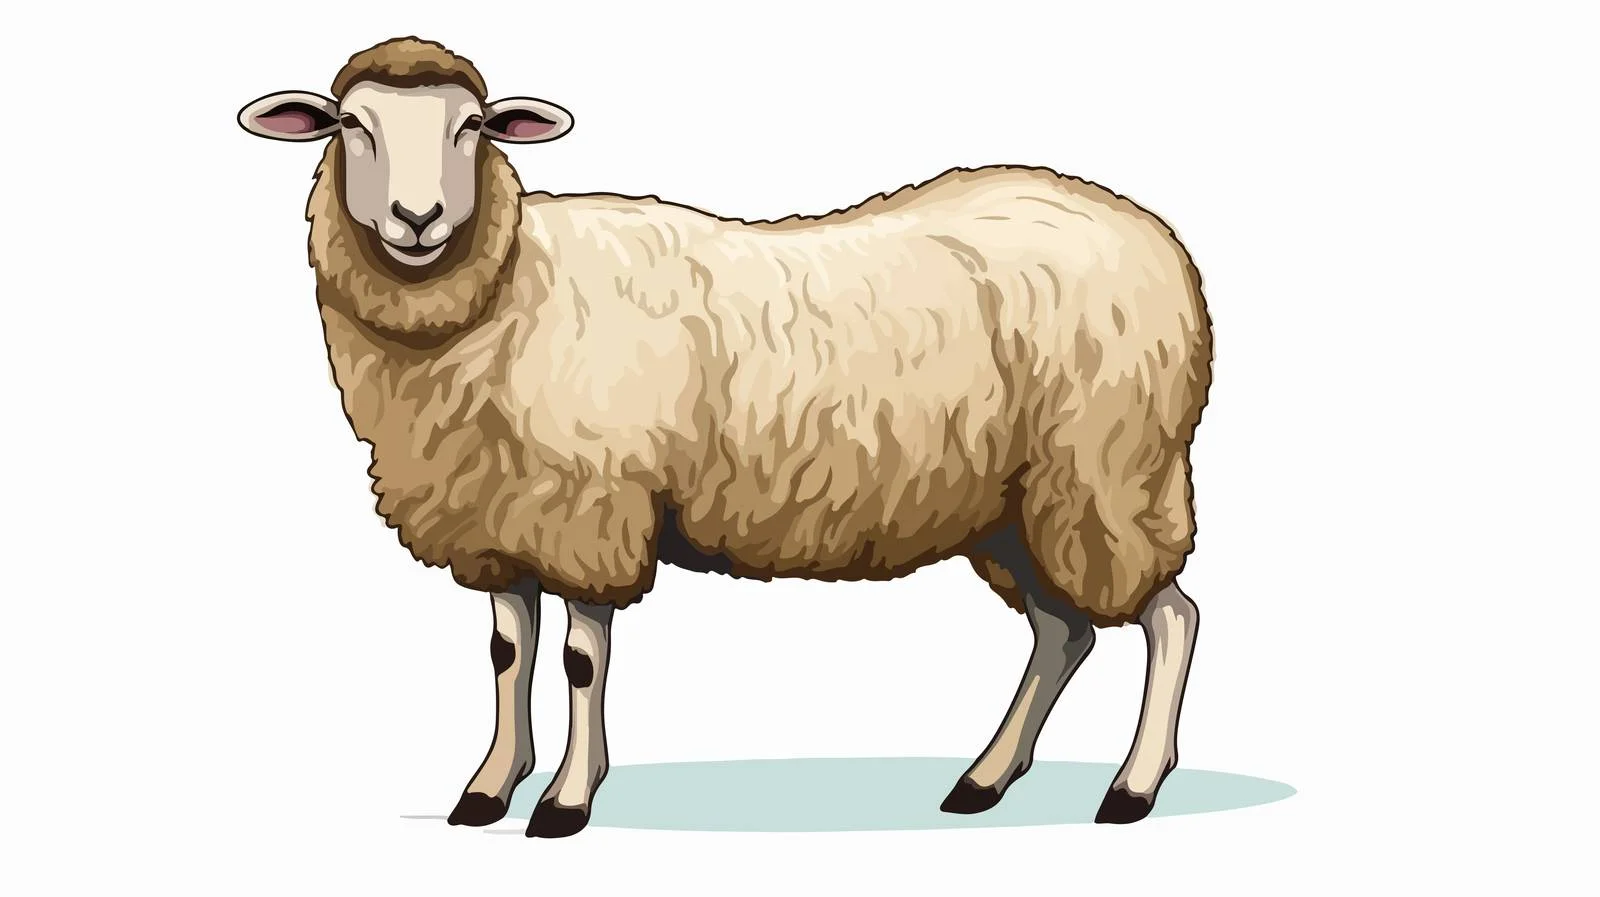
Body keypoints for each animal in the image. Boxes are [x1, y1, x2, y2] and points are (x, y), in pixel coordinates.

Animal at [239, 36, 1213, 839]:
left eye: (473, 126)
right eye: (350, 125)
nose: (418, 219)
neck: (511, 288)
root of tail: (1155, 236)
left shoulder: (594, 507)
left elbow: (579, 659)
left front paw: (564, 800)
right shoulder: (500, 516)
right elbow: (508, 655)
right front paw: (487, 787)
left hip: (1108, 473)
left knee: (1171, 616)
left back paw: (1131, 787)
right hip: (1016, 505)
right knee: (1062, 633)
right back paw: (985, 777)